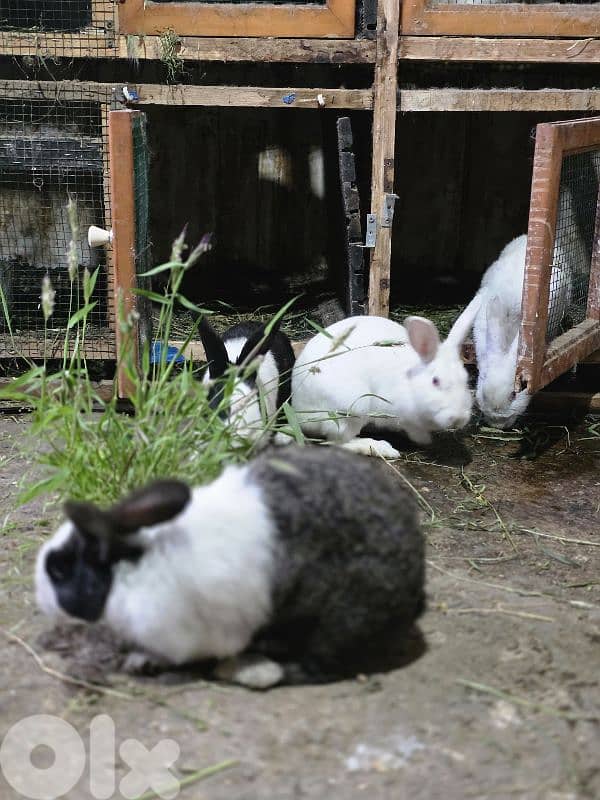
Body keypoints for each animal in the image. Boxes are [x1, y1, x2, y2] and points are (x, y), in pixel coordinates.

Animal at [35, 444, 425, 688]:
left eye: (59, 570)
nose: (39, 598)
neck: (133, 567)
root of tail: (416, 588)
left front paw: (140, 662)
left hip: (343, 620)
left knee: (323, 663)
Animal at [290, 305, 481, 458]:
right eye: (435, 381)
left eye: (465, 379)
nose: (458, 418)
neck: (411, 382)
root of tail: (298, 411)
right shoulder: (402, 414)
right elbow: (414, 429)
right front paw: (425, 441)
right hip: (350, 411)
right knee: (337, 441)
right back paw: (379, 447)